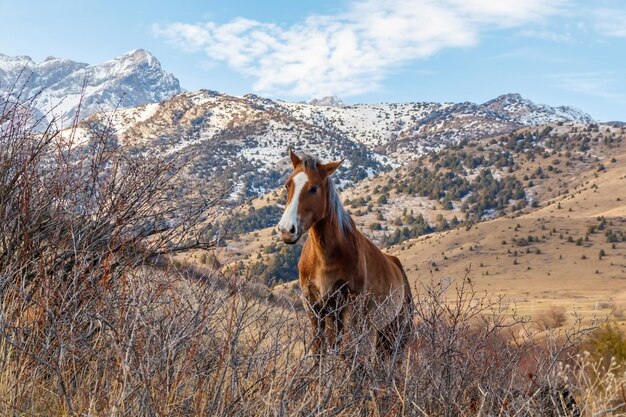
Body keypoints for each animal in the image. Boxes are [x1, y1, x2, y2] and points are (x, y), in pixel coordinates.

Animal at [274, 148, 412, 356]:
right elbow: (319, 352)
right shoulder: (315, 310)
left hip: (395, 332)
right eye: (287, 185)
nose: (286, 230)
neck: (325, 259)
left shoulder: (349, 311)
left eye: (314, 188)